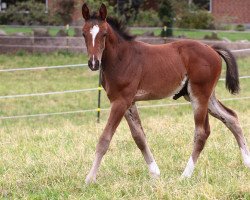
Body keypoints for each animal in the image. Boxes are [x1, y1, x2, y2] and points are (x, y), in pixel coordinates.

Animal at [82, 3, 250, 184]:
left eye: (104, 34)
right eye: (84, 33)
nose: (93, 63)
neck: (121, 57)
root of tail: (211, 48)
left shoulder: (120, 101)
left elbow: (105, 139)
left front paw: (90, 178)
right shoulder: (128, 102)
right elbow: (139, 136)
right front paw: (155, 172)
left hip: (199, 95)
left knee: (202, 132)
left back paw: (185, 175)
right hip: (204, 97)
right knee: (231, 118)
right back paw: (247, 163)